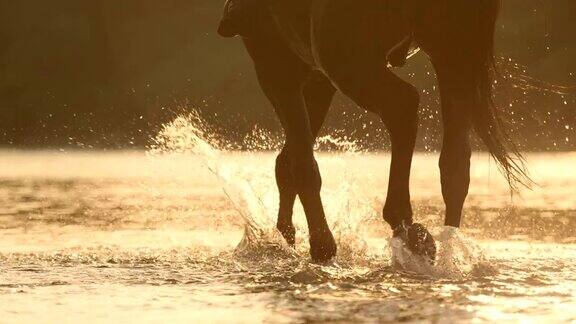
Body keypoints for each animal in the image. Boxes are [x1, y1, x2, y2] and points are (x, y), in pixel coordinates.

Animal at [216, 0, 528, 262]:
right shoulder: (315, 76)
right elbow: (289, 161)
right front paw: (286, 238)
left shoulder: (278, 67)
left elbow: (299, 164)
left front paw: (314, 244)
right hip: (450, 49)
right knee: (454, 160)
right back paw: (444, 244)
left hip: (349, 64)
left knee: (403, 106)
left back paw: (400, 228)